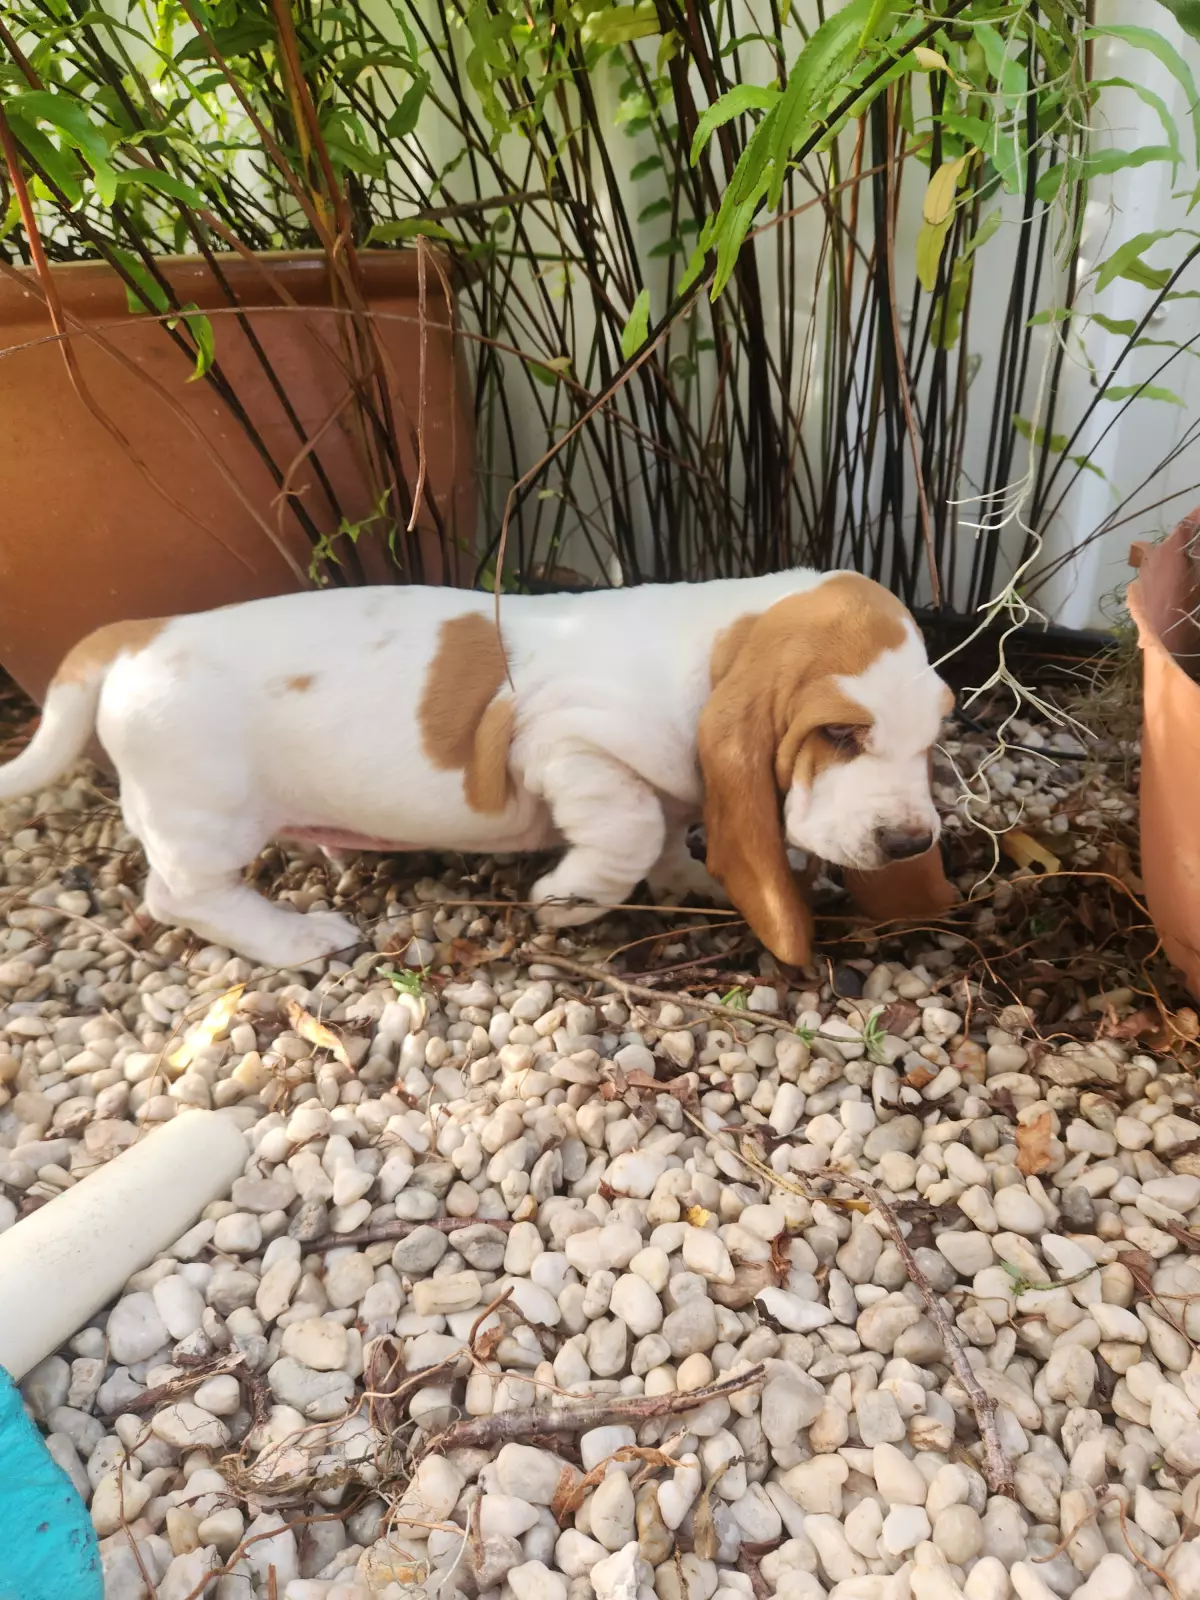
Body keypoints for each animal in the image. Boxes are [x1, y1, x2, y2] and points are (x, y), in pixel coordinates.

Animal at [0, 570, 951, 969]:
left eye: (936, 733)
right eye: (839, 733)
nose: (911, 842)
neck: (706, 646)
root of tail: (137, 633)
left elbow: (670, 832)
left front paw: (692, 878)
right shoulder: (563, 745)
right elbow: (629, 829)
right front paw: (569, 901)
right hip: (204, 818)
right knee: (183, 896)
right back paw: (295, 939)